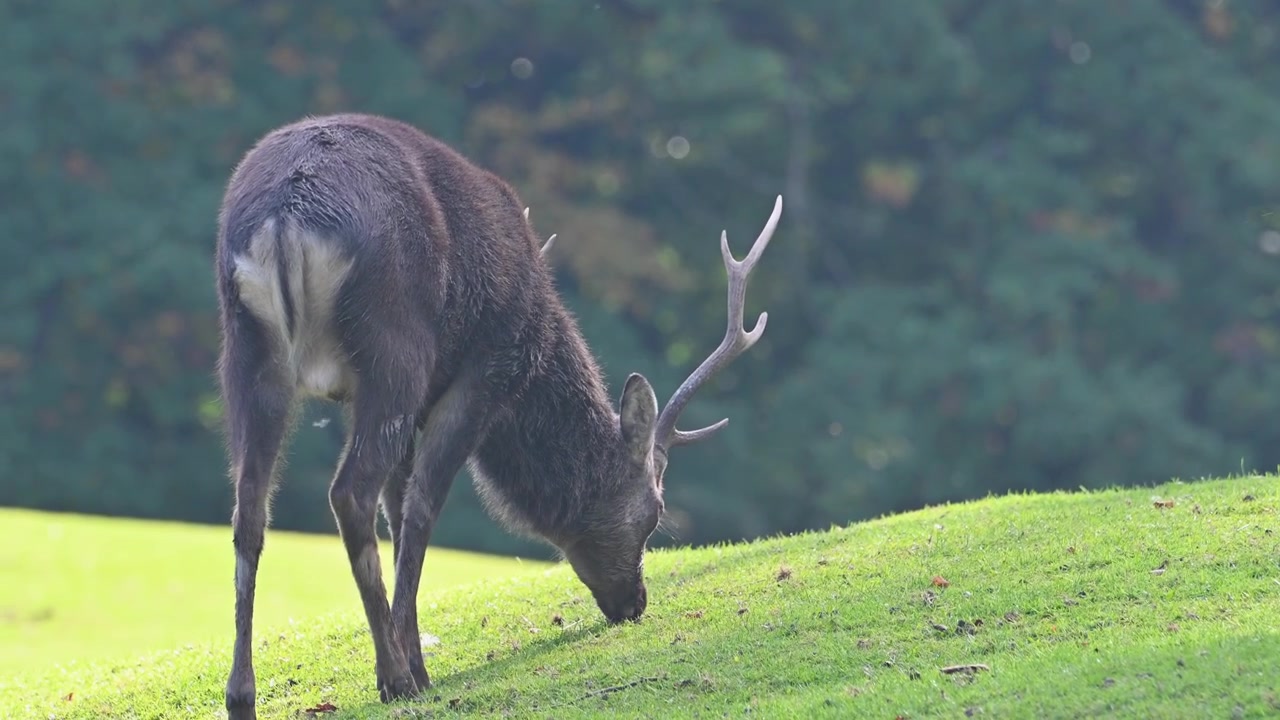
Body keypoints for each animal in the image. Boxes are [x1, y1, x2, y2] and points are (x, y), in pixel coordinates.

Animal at [213, 112, 782, 719]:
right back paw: (393, 677)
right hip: (396, 346)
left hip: (247, 351)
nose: (635, 603)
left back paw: (241, 695)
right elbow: (419, 512)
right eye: (653, 514)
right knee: (349, 493)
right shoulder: (483, 373)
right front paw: (416, 667)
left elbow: (398, 508)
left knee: (250, 507)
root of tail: (285, 217)